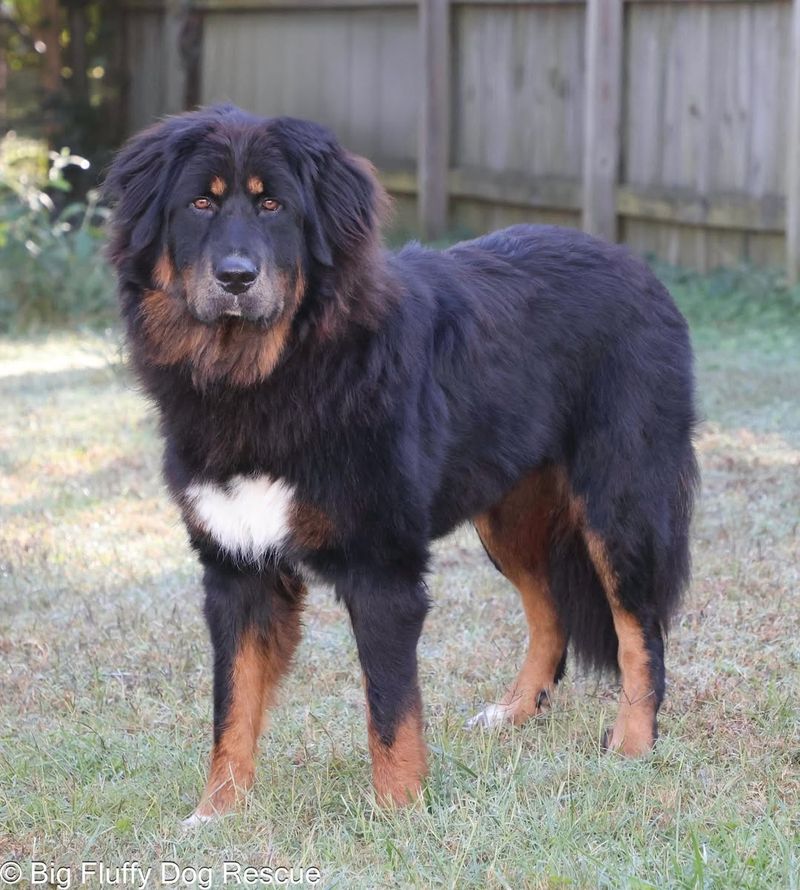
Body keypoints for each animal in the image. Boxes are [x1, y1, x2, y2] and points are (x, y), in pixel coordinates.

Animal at [108, 107, 700, 824]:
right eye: (200, 203)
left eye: (274, 205)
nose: (236, 276)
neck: (272, 375)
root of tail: (638, 269)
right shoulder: (236, 567)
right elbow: (232, 707)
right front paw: (217, 814)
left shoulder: (381, 568)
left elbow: (390, 711)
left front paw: (397, 813)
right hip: (508, 518)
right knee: (550, 611)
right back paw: (514, 712)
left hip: (619, 505)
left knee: (641, 631)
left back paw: (632, 743)